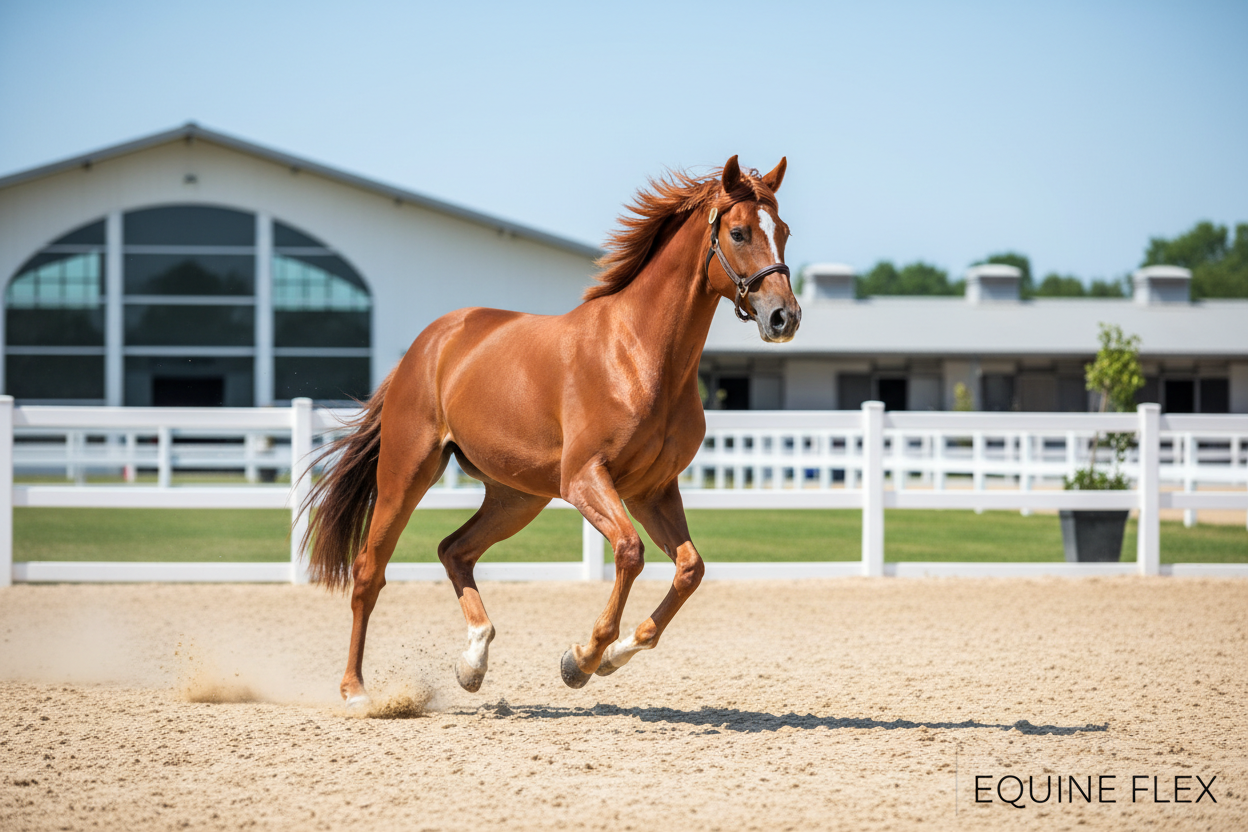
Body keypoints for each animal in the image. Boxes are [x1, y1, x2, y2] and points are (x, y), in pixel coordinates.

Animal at [301, 155, 800, 707]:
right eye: (738, 232)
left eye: (784, 231)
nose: (785, 317)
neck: (641, 356)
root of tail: (426, 345)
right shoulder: (584, 479)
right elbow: (630, 552)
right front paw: (582, 659)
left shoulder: (652, 490)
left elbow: (690, 568)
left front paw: (614, 654)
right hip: (406, 474)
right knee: (370, 571)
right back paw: (356, 692)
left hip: (517, 497)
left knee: (454, 550)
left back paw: (473, 662)